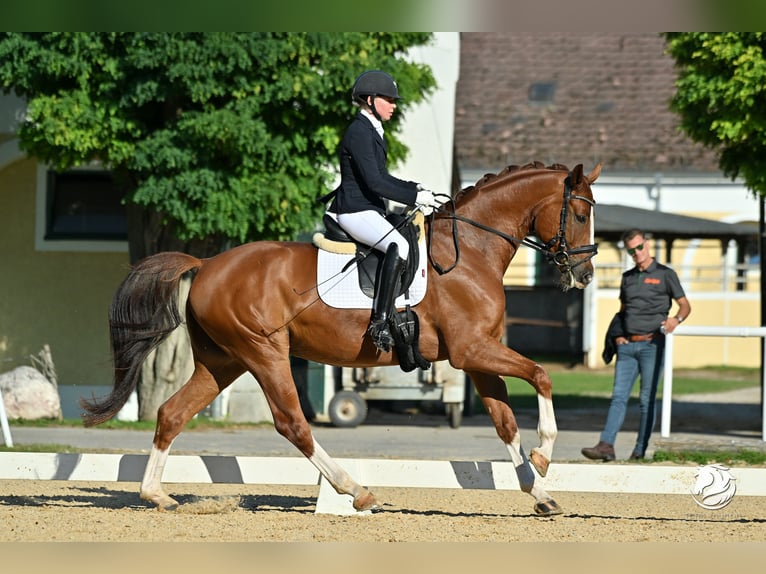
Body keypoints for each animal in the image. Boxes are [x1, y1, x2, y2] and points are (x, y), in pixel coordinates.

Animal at [81, 161, 604, 516]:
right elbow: (541, 376)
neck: (471, 250)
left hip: (224, 360)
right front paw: (543, 457)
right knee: (293, 423)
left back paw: (156, 494)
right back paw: (356, 490)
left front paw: (540, 492)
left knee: (172, 413)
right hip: (263, 352)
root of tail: (207, 264)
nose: (584, 275)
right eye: (579, 215)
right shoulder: (472, 350)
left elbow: (505, 423)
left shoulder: (476, 357)